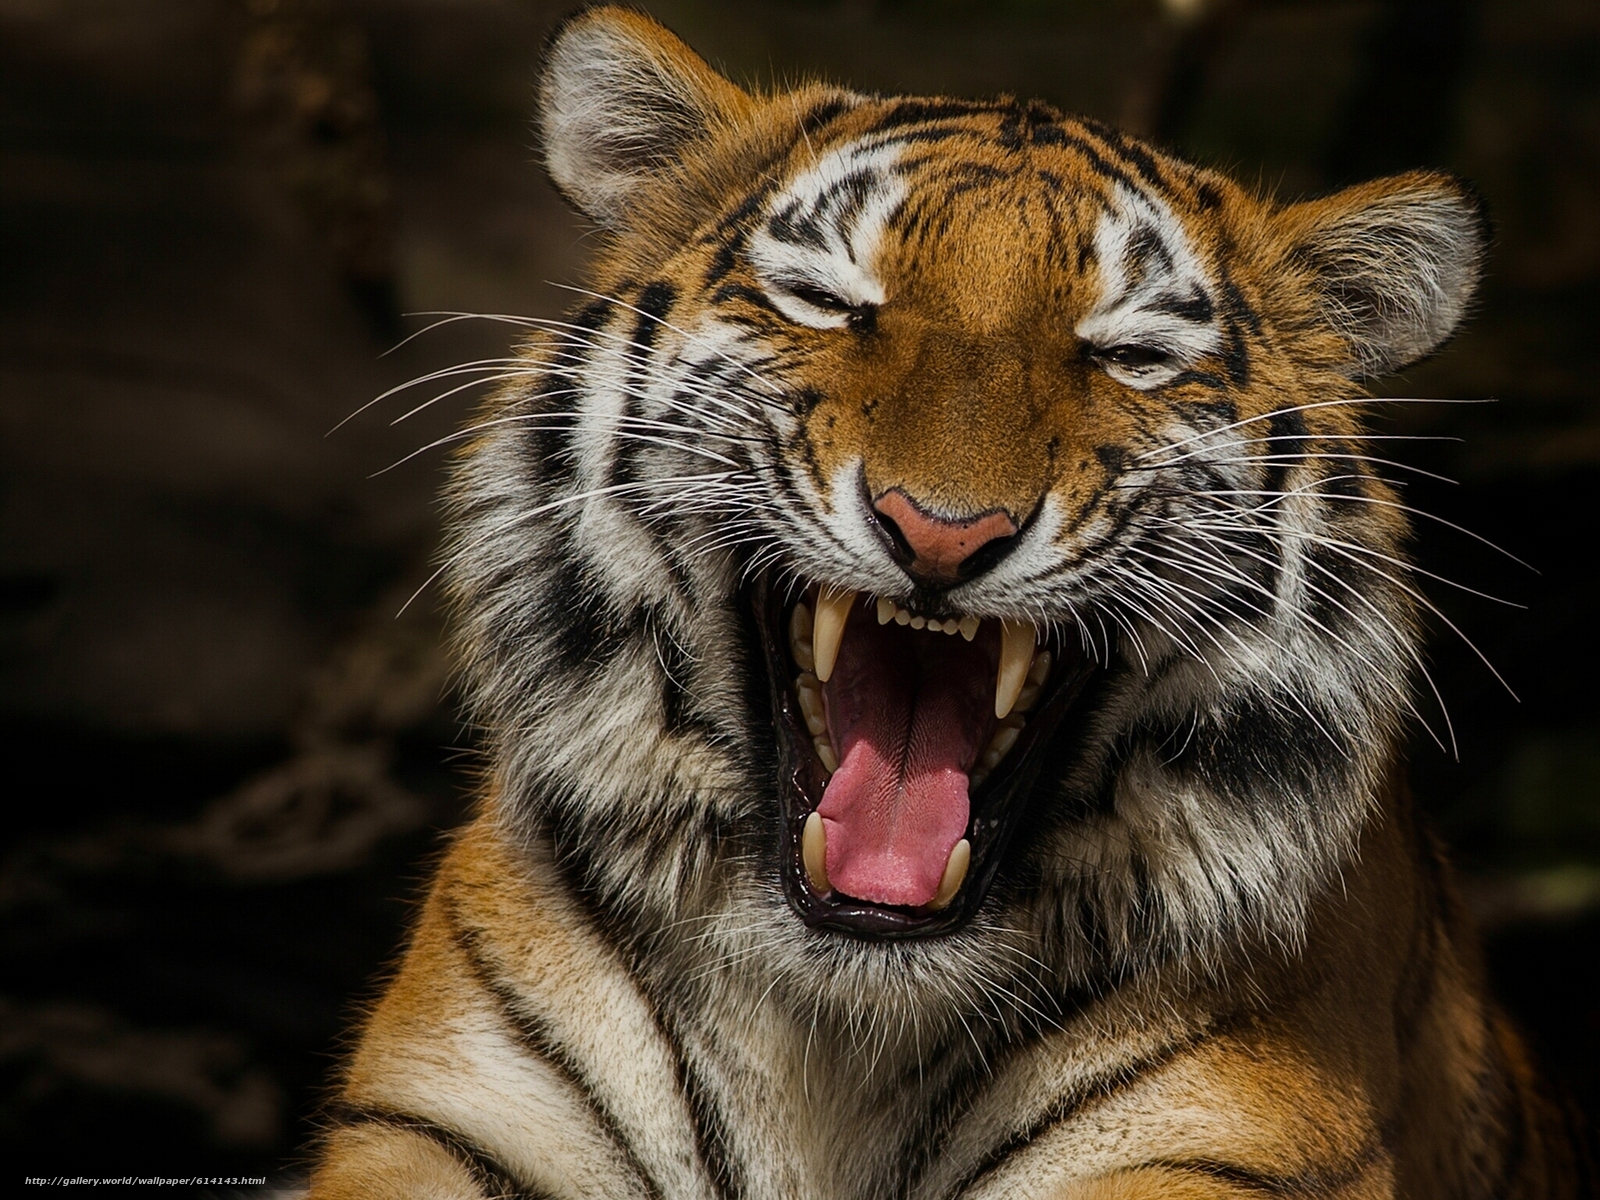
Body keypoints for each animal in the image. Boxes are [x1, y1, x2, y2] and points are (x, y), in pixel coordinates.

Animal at [308, 9, 1587, 1200]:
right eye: (826, 302)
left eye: (1127, 356)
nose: (940, 532)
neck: (832, 1031)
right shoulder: (443, 1117)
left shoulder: (1222, 1142)